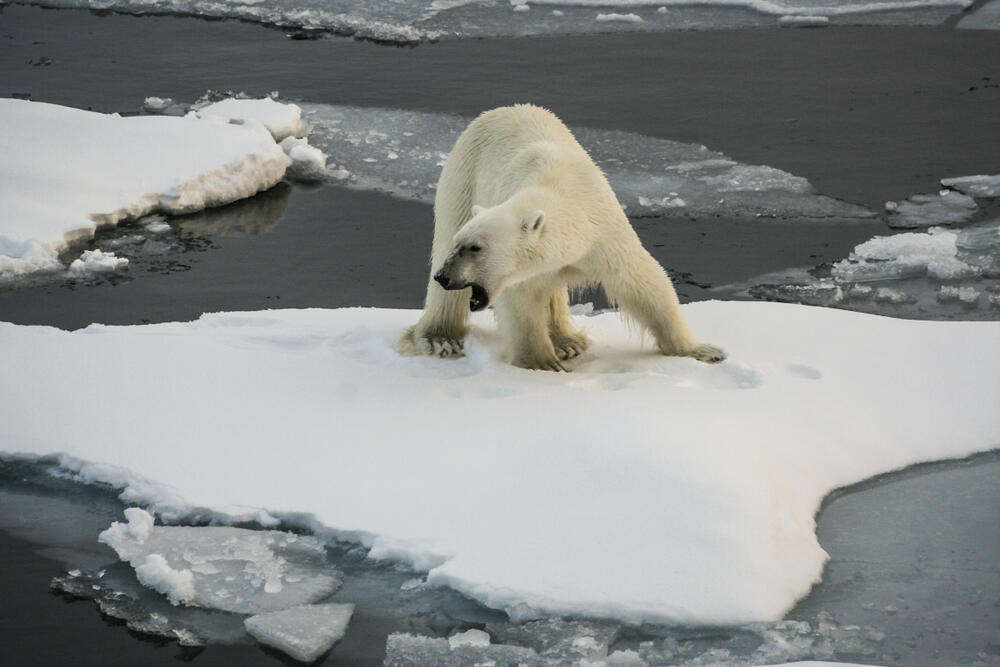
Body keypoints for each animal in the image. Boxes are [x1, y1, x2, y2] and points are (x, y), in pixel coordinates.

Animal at [398, 107, 728, 374]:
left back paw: (567, 341)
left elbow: (641, 281)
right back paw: (441, 339)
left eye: (475, 248)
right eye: (462, 244)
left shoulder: (603, 231)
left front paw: (702, 351)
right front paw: (543, 362)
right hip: (463, 177)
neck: (562, 187)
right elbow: (521, 301)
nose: (444, 275)